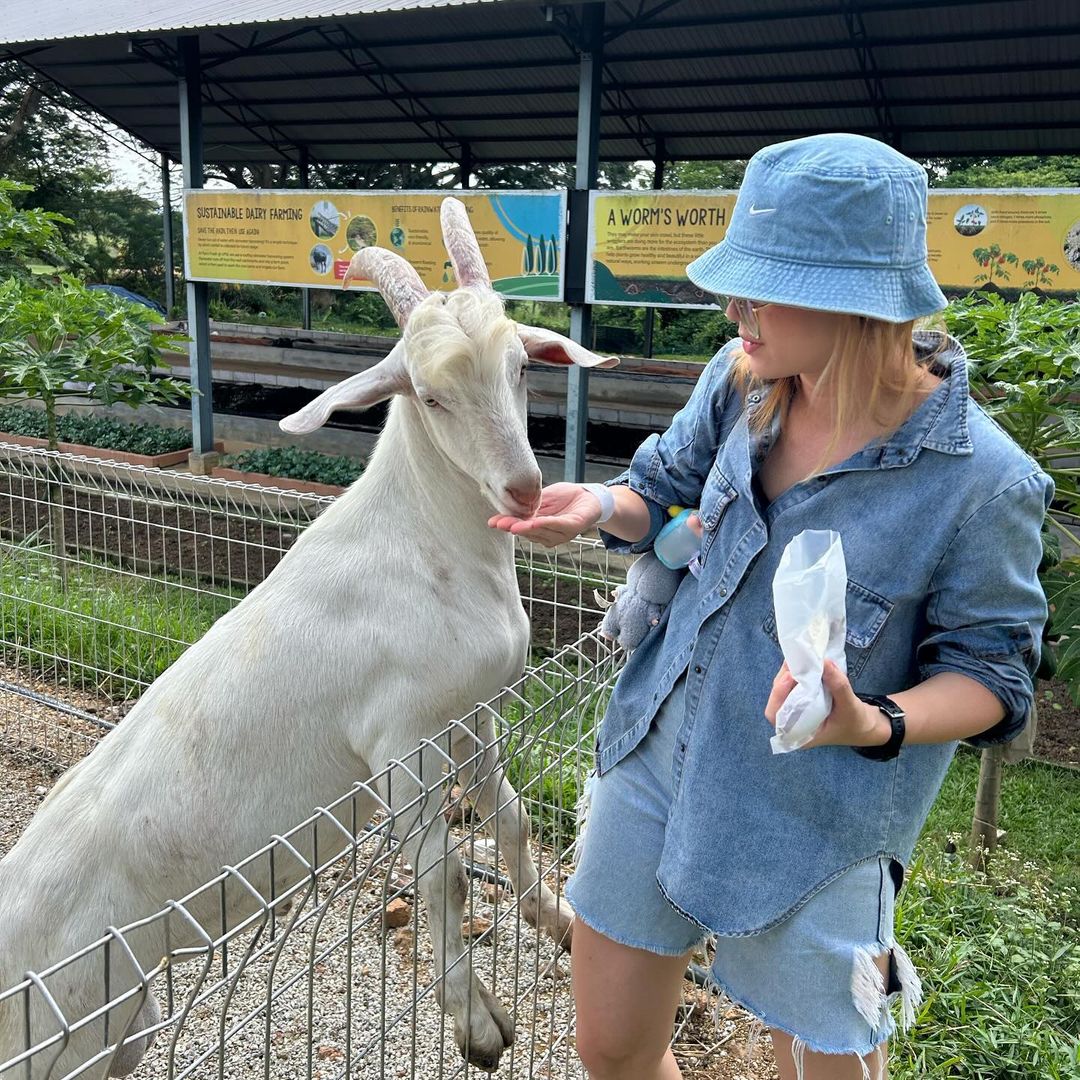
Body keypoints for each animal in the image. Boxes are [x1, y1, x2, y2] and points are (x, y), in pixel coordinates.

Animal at [0, 198, 617, 1075]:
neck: (423, 544)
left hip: (129, 1020)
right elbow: (445, 879)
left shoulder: (472, 716)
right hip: (73, 1026)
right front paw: (478, 1029)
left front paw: (558, 922)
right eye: (429, 396)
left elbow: (511, 821)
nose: (525, 489)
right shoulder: (399, 745)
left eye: (521, 369)